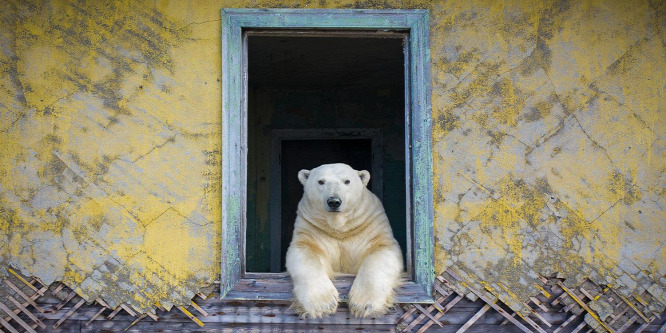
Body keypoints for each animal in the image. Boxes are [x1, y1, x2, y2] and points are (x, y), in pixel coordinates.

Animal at [284, 162, 402, 318]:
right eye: (321, 181)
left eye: (347, 181)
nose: (334, 201)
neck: (339, 228)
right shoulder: (311, 227)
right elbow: (306, 252)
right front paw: (322, 305)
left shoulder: (370, 224)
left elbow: (381, 251)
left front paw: (363, 305)